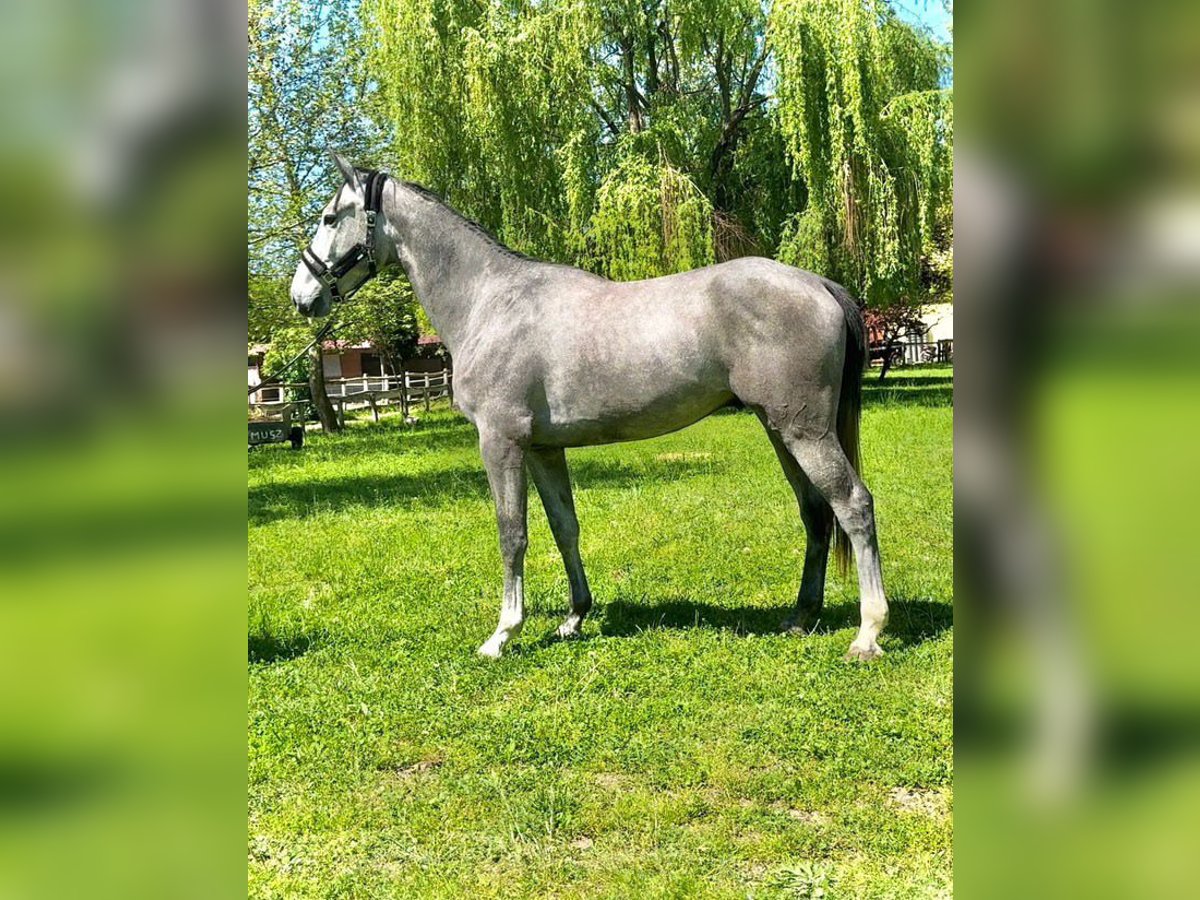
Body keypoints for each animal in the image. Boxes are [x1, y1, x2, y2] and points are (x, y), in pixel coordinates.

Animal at [290, 152, 888, 661]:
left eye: (328, 216)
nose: (301, 297)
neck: (490, 302)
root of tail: (819, 284)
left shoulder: (500, 442)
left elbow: (512, 533)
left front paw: (503, 634)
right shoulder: (542, 449)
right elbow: (564, 527)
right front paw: (575, 618)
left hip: (805, 431)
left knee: (853, 505)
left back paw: (867, 633)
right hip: (780, 427)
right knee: (815, 512)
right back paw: (800, 617)